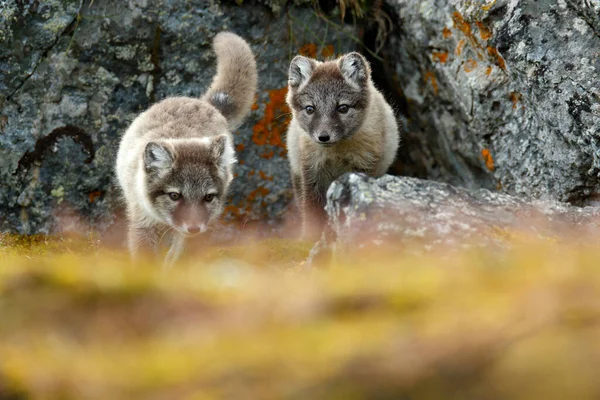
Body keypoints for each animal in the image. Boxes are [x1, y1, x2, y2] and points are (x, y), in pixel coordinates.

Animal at [116, 32, 256, 268]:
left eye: (208, 197)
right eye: (174, 195)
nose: (193, 227)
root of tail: (202, 102)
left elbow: (179, 259)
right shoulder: (142, 221)